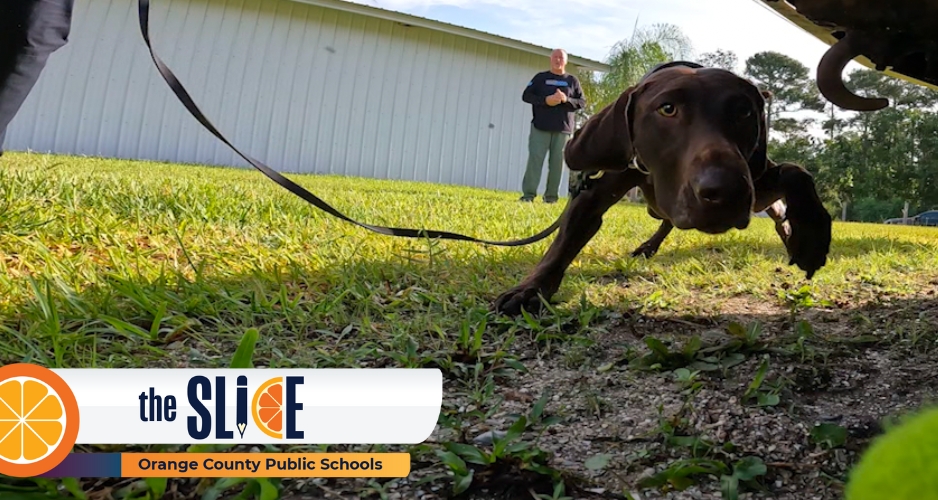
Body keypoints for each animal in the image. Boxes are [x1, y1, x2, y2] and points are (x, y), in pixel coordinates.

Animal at [494, 61, 828, 312]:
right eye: (667, 109)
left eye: (744, 112)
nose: (728, 192)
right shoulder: (594, 193)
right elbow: (562, 245)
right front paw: (529, 289)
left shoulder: (755, 182)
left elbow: (796, 172)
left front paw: (811, 235)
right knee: (666, 220)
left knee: (775, 212)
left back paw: (791, 235)